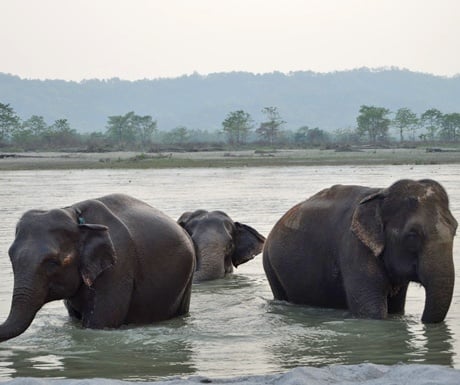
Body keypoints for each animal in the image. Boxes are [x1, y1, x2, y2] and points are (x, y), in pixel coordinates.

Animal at [262, 178, 456, 322]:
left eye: (455, 228)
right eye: (412, 235)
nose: (421, 321)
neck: (382, 193)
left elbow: (396, 309)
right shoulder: (354, 246)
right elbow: (372, 312)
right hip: (270, 264)